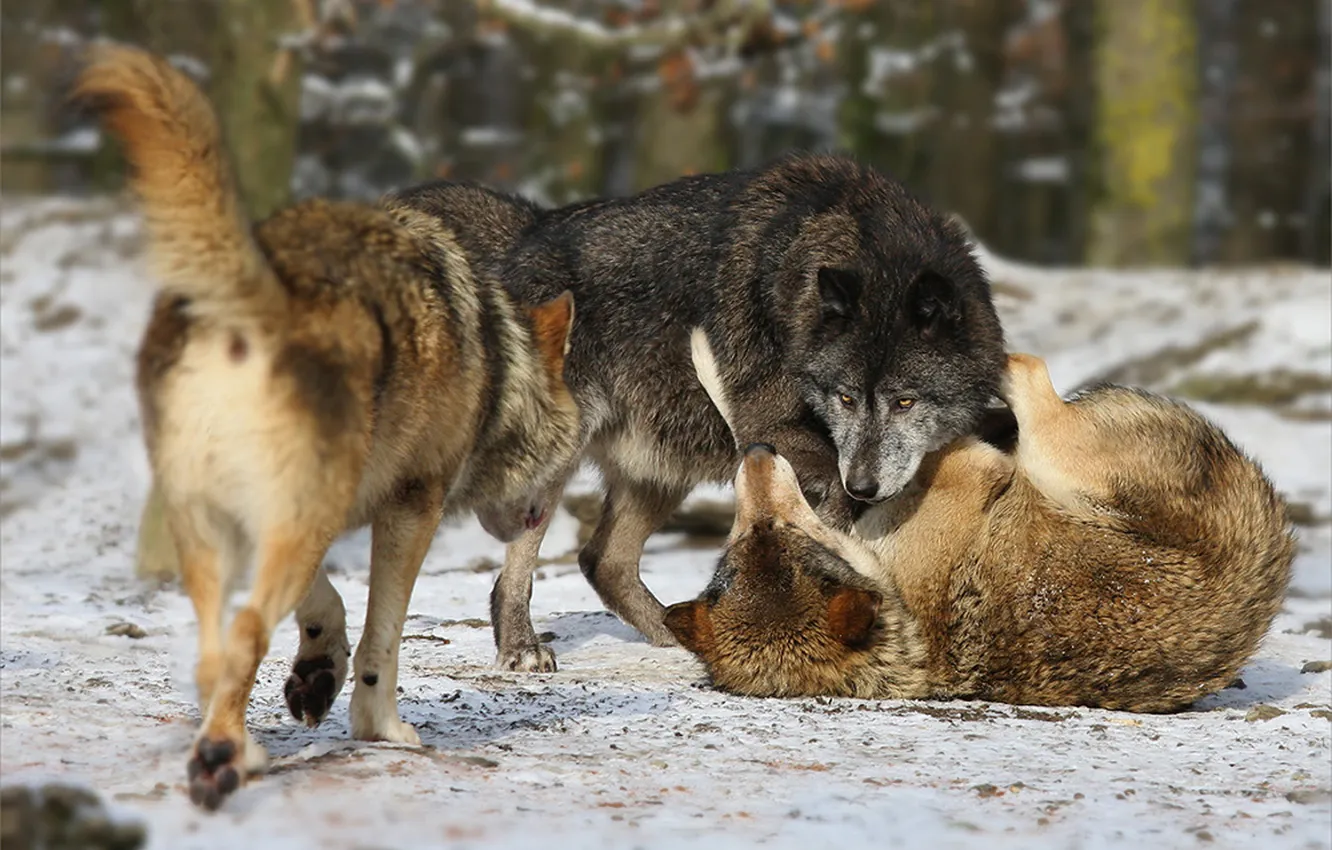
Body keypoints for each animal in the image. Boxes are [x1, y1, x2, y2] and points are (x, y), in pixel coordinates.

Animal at [76, 46, 581, 809]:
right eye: (562, 463)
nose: (536, 517)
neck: (498, 358)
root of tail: (257, 296)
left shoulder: (309, 518)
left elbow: (326, 604)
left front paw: (316, 674)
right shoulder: (410, 506)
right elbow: (384, 637)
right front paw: (383, 729)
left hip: (213, 529)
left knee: (213, 652)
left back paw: (242, 749)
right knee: (245, 632)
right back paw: (222, 762)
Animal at [478, 154, 1006, 671]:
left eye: (905, 401)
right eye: (846, 398)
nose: (865, 485)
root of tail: (525, 238)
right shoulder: (766, 428)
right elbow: (831, 499)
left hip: (665, 465)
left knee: (603, 560)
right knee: (520, 567)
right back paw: (522, 648)